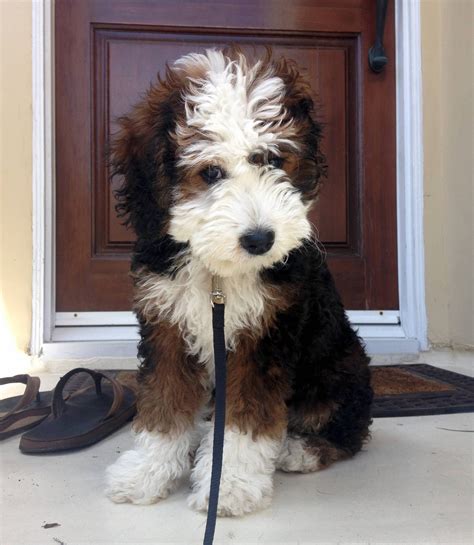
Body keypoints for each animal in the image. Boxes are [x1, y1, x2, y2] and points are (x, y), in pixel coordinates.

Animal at [104, 45, 374, 516]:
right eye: (211, 173)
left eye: (273, 160)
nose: (260, 239)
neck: (218, 272)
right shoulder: (166, 326)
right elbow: (163, 403)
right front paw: (146, 474)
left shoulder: (263, 337)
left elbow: (246, 421)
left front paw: (227, 486)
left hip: (339, 368)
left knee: (347, 426)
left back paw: (300, 449)